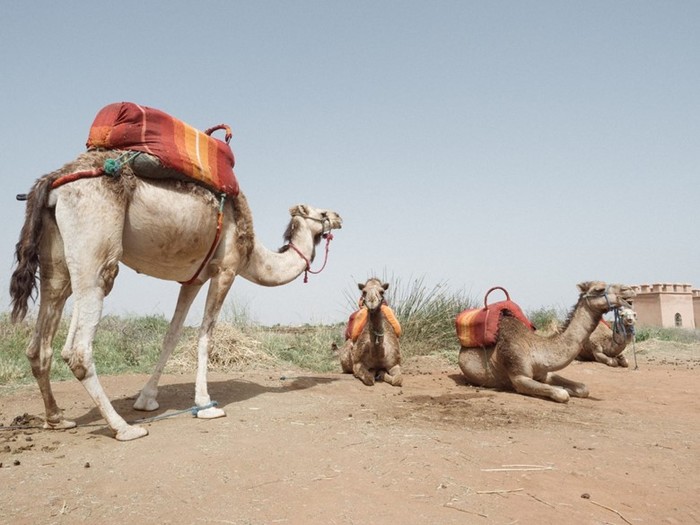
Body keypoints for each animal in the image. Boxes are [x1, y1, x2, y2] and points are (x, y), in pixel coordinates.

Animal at [8, 149, 342, 440]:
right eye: (321, 212)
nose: (339, 216)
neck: (252, 255)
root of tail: (53, 180)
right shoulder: (225, 270)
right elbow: (206, 336)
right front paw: (206, 405)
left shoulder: (192, 279)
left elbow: (172, 334)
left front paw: (146, 399)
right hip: (95, 244)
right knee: (78, 345)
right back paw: (123, 428)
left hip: (56, 259)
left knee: (41, 336)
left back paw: (56, 419)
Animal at [460, 282, 636, 402]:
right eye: (599, 289)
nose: (629, 289)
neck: (536, 350)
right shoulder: (519, 377)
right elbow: (561, 393)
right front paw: (562, 389)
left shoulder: (545, 373)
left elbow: (583, 388)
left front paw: (567, 387)